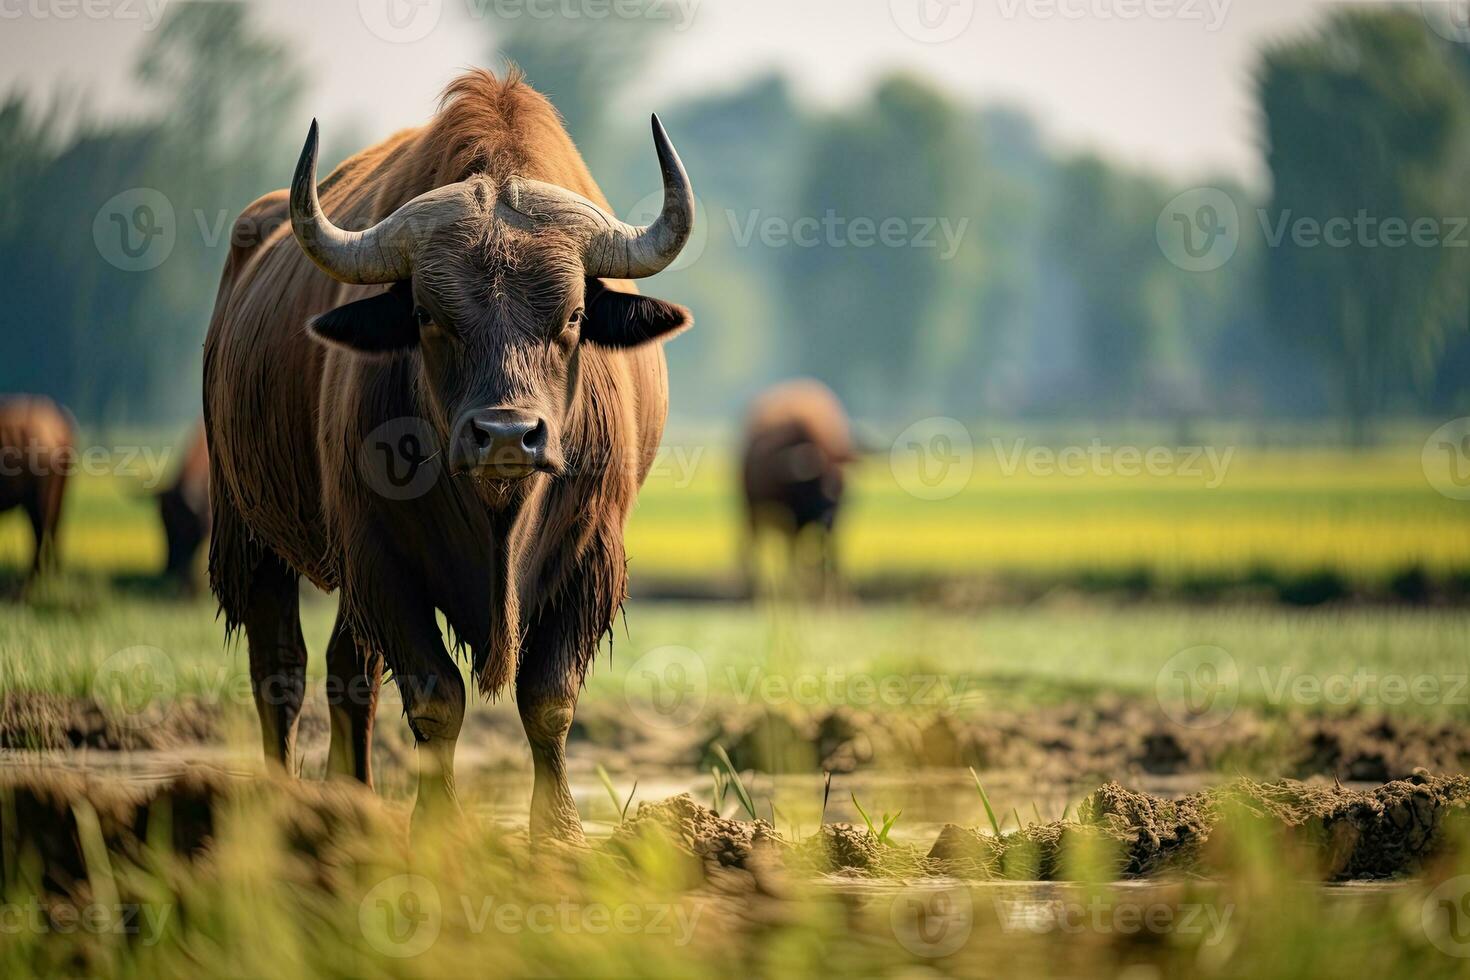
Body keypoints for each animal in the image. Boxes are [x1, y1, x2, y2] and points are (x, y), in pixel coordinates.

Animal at [204, 69, 696, 840]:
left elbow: (548, 699)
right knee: (278, 667)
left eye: (574, 315)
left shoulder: (590, 558)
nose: (507, 435)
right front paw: (436, 825)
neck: (498, 512)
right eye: (428, 316)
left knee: (348, 670)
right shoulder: (380, 555)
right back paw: (288, 799)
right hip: (247, 529)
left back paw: (351, 795)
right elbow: (436, 698)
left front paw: (557, 829)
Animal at [740, 379, 858, 593]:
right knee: (752, 540)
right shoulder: (793, 519)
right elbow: (797, 551)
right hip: (750, 507)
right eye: (816, 485)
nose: (828, 517)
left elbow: (825, 551)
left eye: (840, 485)